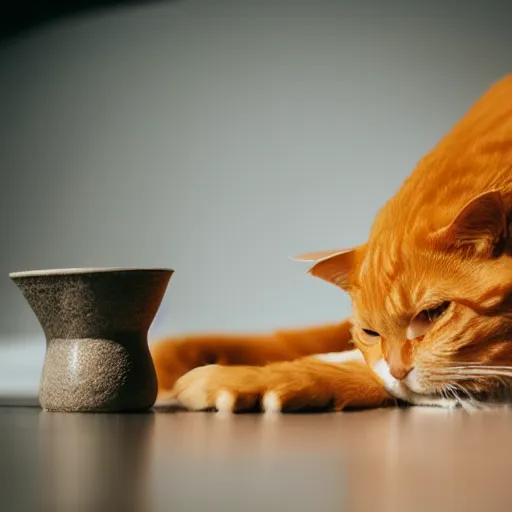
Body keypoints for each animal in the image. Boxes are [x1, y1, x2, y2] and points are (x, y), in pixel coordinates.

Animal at [152, 75, 512, 412]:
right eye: (369, 332)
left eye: (434, 313)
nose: (398, 372)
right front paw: (169, 358)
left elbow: (351, 364)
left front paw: (245, 377)